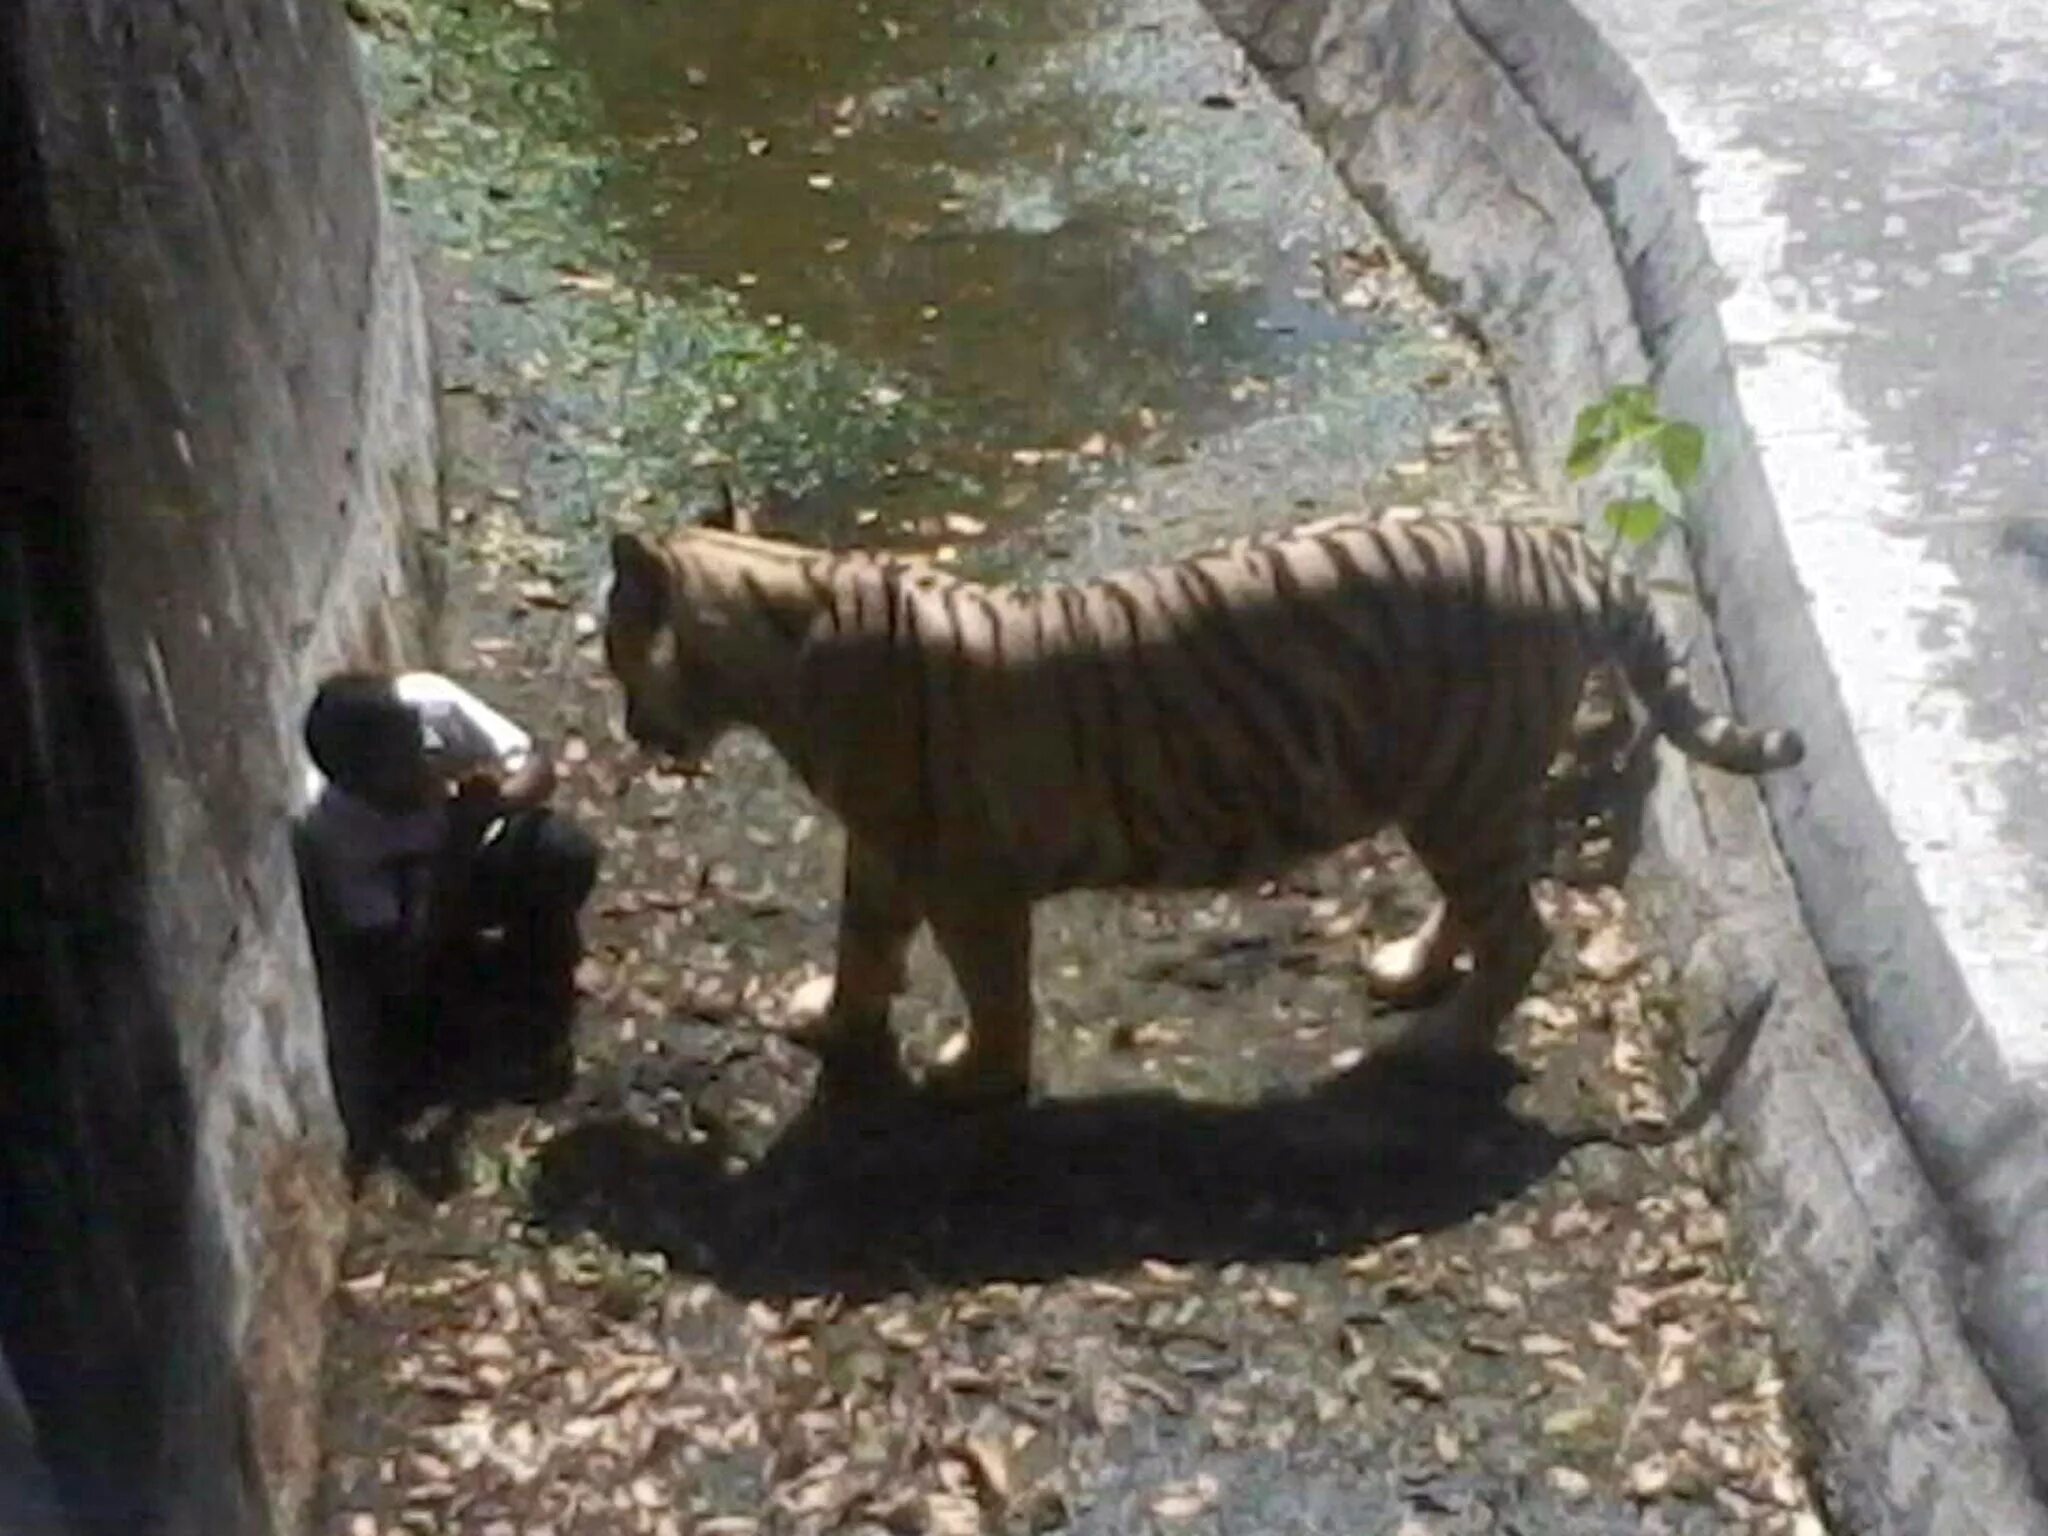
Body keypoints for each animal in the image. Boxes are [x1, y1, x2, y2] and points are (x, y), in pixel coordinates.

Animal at [598, 505, 1802, 1122]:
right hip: (1450, 794)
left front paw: (973, 1077)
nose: (624, 724)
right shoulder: (887, 852)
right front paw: (832, 1021)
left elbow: (992, 991)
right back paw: (1409, 973)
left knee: (1524, 929)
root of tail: (1566, 546)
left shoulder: (965, 878)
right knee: (1483, 909)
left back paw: (1436, 1042)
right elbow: (862, 946)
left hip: (1463, 788)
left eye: (612, 643)